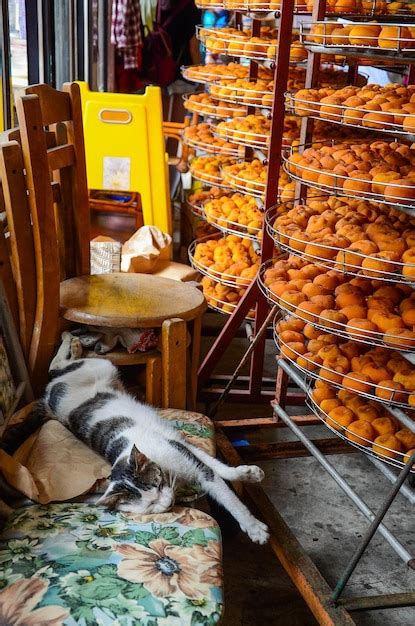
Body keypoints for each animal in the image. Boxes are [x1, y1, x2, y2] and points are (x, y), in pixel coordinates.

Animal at [35, 332, 270, 540]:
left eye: (157, 484)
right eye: (150, 505)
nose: (167, 504)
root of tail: (48, 397)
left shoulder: (180, 449)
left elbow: (219, 480)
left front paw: (253, 523)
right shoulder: (178, 445)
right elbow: (210, 467)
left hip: (101, 366)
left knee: (56, 367)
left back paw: (72, 342)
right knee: (55, 369)